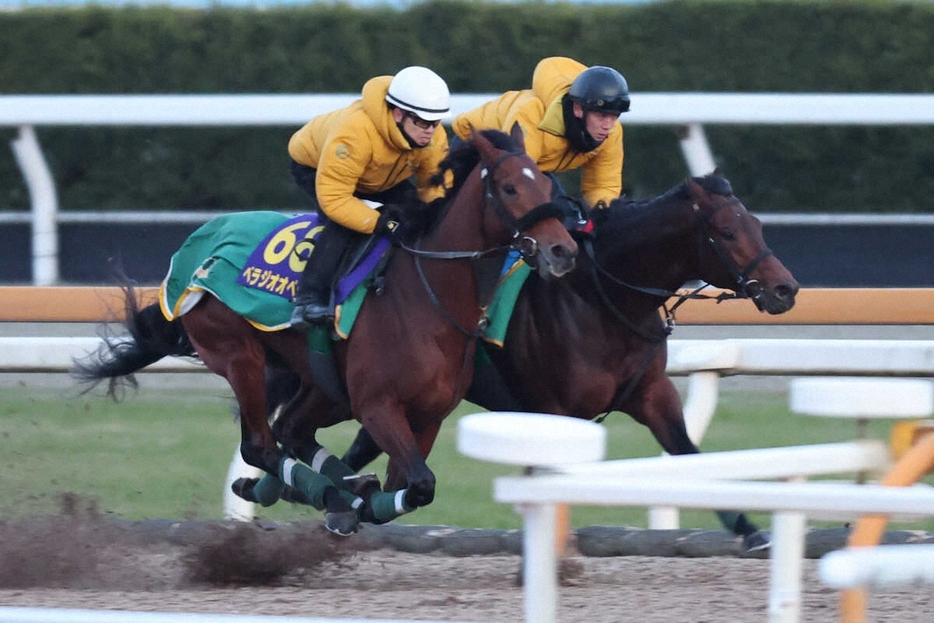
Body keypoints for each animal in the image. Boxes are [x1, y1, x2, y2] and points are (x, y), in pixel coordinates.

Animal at [75, 128, 576, 536]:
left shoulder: (429, 416)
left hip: (323, 383)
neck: (427, 296)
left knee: (293, 431)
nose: (563, 250)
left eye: (546, 183)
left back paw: (312, 488)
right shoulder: (378, 406)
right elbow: (419, 484)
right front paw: (346, 502)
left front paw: (358, 499)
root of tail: (195, 248)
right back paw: (312, 490)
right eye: (510, 187)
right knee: (261, 444)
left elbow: (408, 488)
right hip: (239, 355)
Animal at [268, 173, 796, 548]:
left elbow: (688, 453)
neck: (598, 299)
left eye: (757, 226)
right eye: (727, 231)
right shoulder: (555, 412)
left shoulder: (652, 396)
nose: (785, 289)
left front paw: (752, 531)